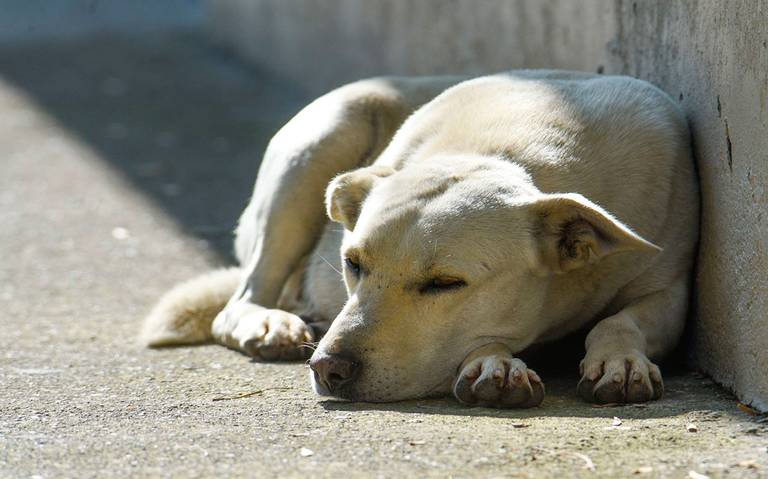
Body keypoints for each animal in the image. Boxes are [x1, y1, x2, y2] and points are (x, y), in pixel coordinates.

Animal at [141, 71, 700, 408]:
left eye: (445, 284)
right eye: (353, 263)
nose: (328, 368)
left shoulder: (670, 288)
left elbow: (622, 320)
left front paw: (620, 360)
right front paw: (495, 363)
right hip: (322, 138)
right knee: (240, 300)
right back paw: (270, 321)